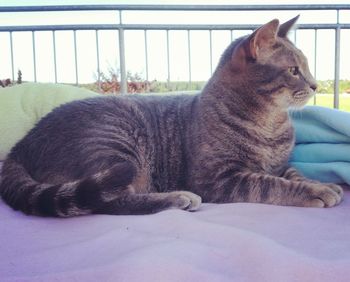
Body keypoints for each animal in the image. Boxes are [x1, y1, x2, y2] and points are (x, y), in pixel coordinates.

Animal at [0, 16, 344, 217]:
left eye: (306, 67)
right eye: (294, 70)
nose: (316, 84)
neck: (270, 122)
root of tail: (21, 145)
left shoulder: (280, 164)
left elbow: (292, 174)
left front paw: (319, 183)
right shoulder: (219, 179)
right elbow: (270, 184)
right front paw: (316, 191)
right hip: (116, 143)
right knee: (107, 201)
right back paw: (178, 198)